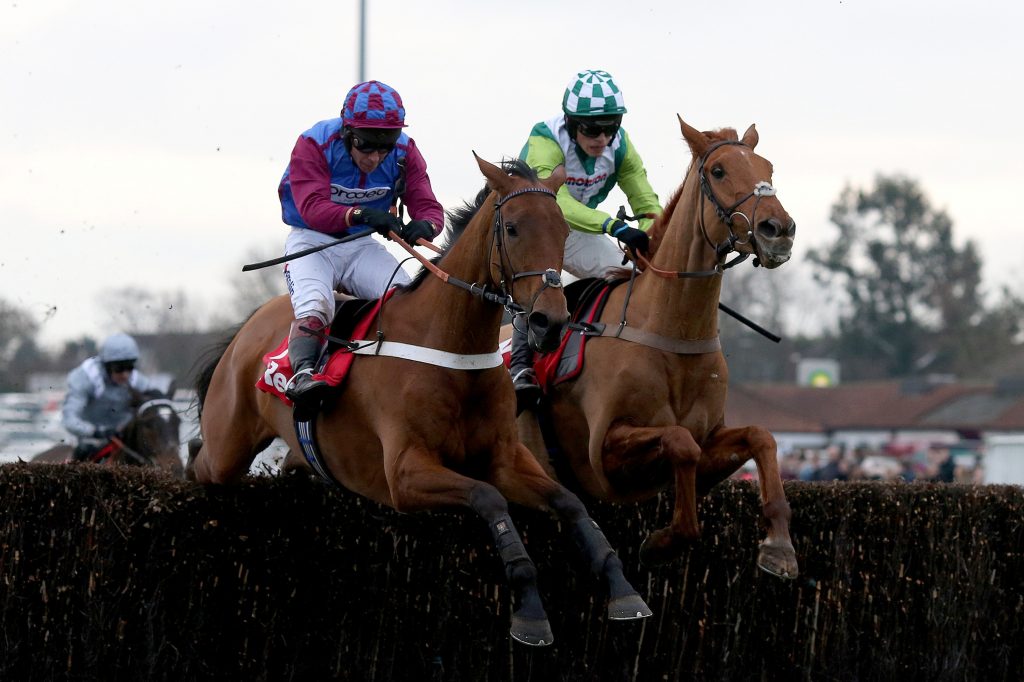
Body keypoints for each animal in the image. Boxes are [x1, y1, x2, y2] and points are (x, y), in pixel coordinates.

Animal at [188, 153, 651, 643]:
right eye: (512, 229)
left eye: (563, 230)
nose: (550, 322)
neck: (453, 349)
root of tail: (250, 324)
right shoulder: (405, 472)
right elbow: (490, 499)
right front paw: (529, 608)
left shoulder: (506, 455)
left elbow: (570, 502)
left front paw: (622, 587)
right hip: (227, 448)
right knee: (202, 454)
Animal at [520, 119, 798, 577]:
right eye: (719, 171)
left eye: (768, 167)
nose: (779, 231)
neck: (672, 331)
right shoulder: (604, 453)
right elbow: (680, 443)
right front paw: (662, 543)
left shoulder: (711, 438)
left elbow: (760, 437)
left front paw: (779, 545)